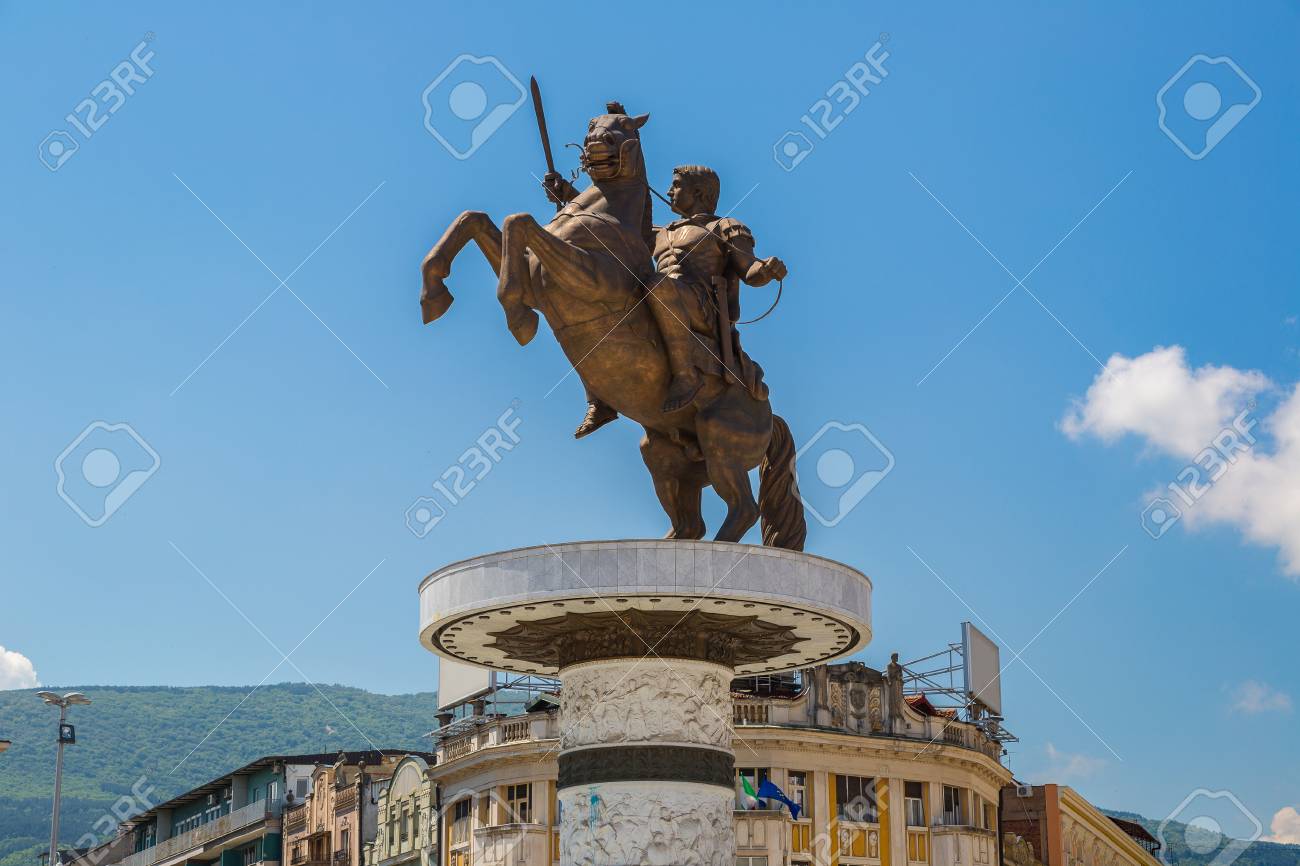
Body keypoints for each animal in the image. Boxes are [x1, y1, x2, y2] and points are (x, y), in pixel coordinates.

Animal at [418, 105, 800, 546]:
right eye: (591, 124)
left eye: (624, 127)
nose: (595, 144)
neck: (605, 212)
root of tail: (766, 411)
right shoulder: (536, 278)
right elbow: (477, 220)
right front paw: (433, 292)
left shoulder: (587, 279)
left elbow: (519, 222)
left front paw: (517, 316)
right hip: (667, 453)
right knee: (692, 522)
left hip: (722, 446)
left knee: (743, 509)